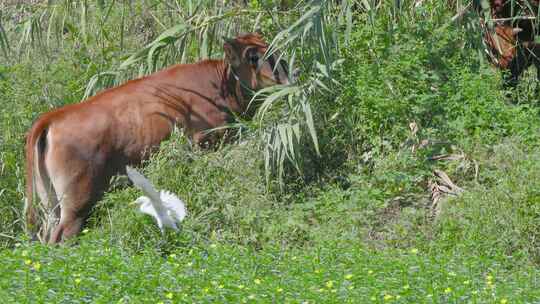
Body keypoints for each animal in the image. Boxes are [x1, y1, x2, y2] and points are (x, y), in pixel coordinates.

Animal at [24, 33, 292, 243]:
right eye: (253, 57)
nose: (286, 79)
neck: (220, 85)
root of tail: (53, 116)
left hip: (52, 206)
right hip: (76, 207)